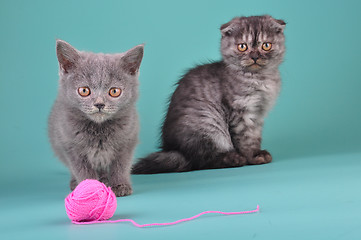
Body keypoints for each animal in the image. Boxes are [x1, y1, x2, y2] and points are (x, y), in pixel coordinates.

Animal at [48, 39, 143, 197]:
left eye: (114, 91)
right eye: (84, 90)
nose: (99, 104)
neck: (99, 130)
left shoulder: (127, 142)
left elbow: (121, 165)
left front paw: (120, 185)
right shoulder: (71, 147)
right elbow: (82, 170)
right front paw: (90, 188)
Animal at [132, 15, 284, 174]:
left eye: (266, 45)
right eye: (242, 47)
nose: (254, 57)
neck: (259, 78)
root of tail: (176, 150)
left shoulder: (258, 115)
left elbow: (255, 137)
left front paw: (258, 153)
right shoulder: (241, 112)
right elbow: (246, 140)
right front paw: (252, 157)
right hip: (209, 126)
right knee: (202, 161)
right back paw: (233, 158)